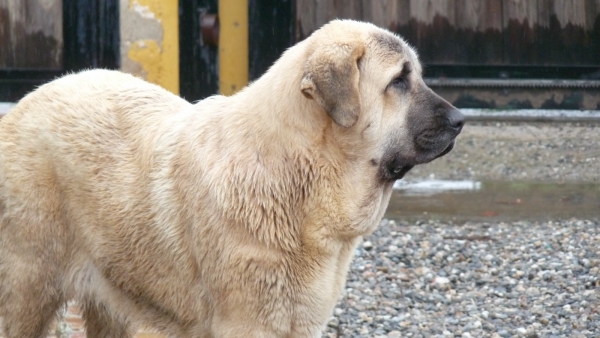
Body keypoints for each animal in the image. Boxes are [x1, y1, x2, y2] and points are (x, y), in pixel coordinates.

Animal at [0, 19, 464, 336]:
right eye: (398, 80)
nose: (461, 119)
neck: (297, 170)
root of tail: (26, 102)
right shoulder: (248, 320)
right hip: (26, 290)